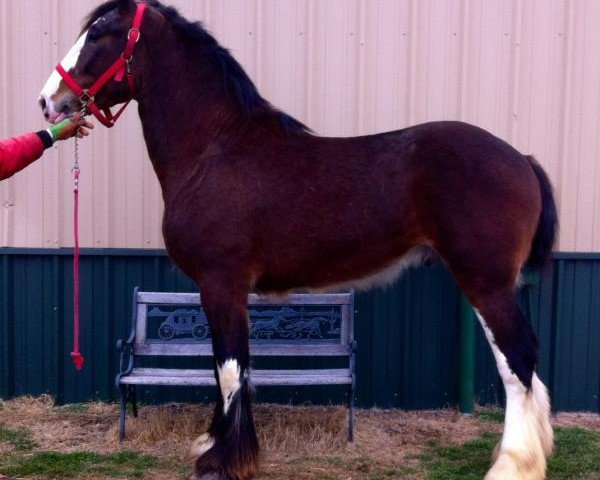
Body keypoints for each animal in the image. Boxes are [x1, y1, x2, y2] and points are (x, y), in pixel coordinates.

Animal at [39, 1, 556, 478]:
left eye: (100, 33)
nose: (49, 101)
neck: (214, 148)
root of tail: (522, 158)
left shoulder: (221, 283)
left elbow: (229, 368)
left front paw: (223, 461)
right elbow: (226, 368)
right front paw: (214, 446)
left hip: (485, 282)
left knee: (517, 360)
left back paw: (512, 463)